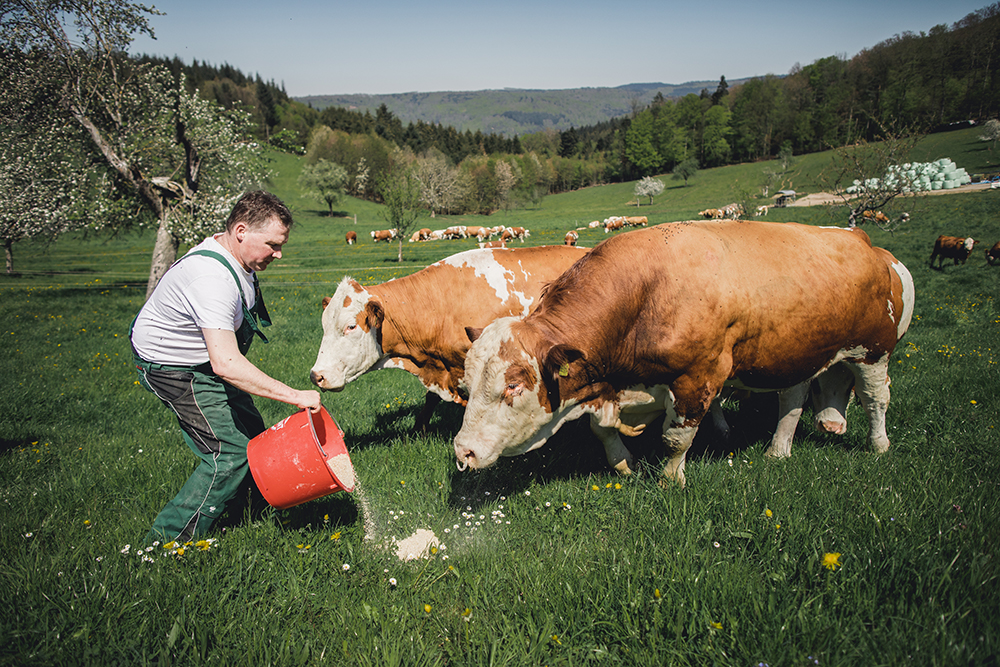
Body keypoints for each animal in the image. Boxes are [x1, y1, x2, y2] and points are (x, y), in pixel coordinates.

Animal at [453, 221, 911, 487]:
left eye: (513, 386)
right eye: (467, 385)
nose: (462, 453)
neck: (646, 293)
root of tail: (864, 244)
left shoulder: (697, 376)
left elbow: (676, 437)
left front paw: (670, 480)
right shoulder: (608, 386)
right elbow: (602, 431)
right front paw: (624, 464)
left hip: (873, 351)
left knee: (876, 398)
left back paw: (879, 444)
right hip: (795, 353)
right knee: (792, 400)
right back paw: (777, 450)